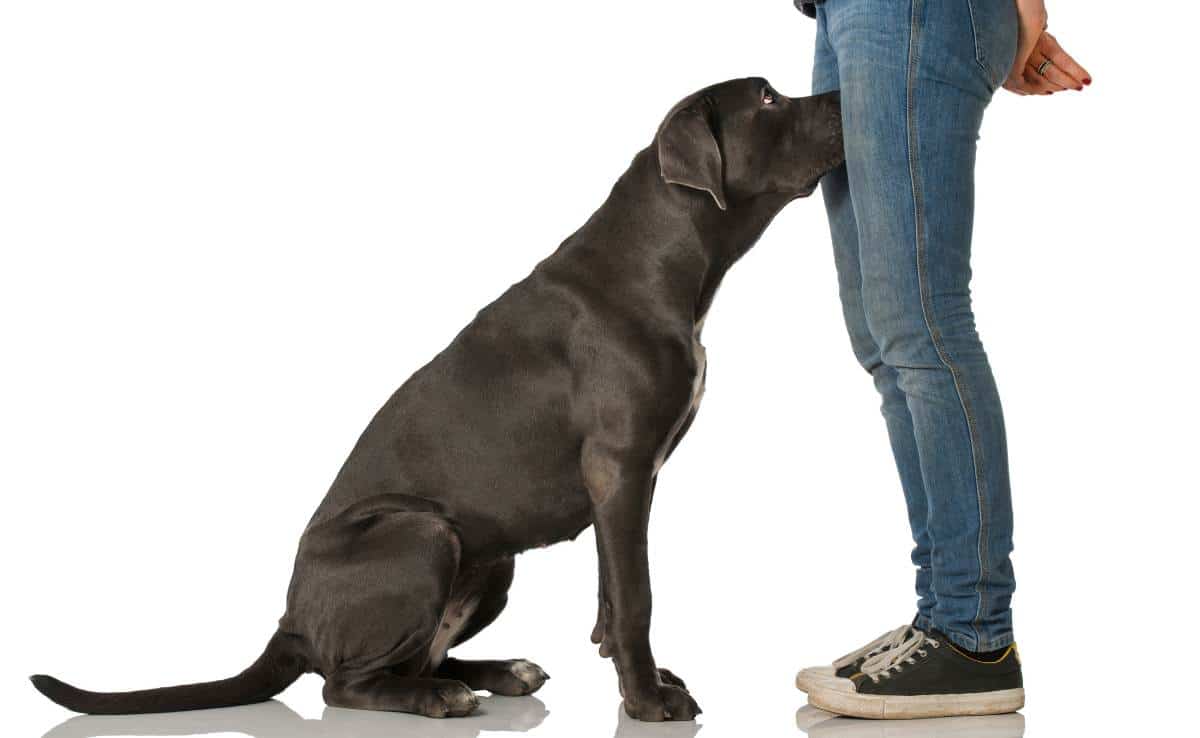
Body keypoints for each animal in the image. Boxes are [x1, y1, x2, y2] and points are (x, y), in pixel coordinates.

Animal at [35, 78, 844, 724]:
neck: (663, 254)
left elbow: (611, 594)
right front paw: (647, 702)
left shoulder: (625, 483)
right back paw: (436, 699)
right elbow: (636, 594)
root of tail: (289, 622)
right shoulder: (620, 467)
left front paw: (633, 676)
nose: (840, 94)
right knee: (343, 683)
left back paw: (494, 674)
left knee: (418, 655)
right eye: (768, 100)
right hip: (423, 532)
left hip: (492, 558)